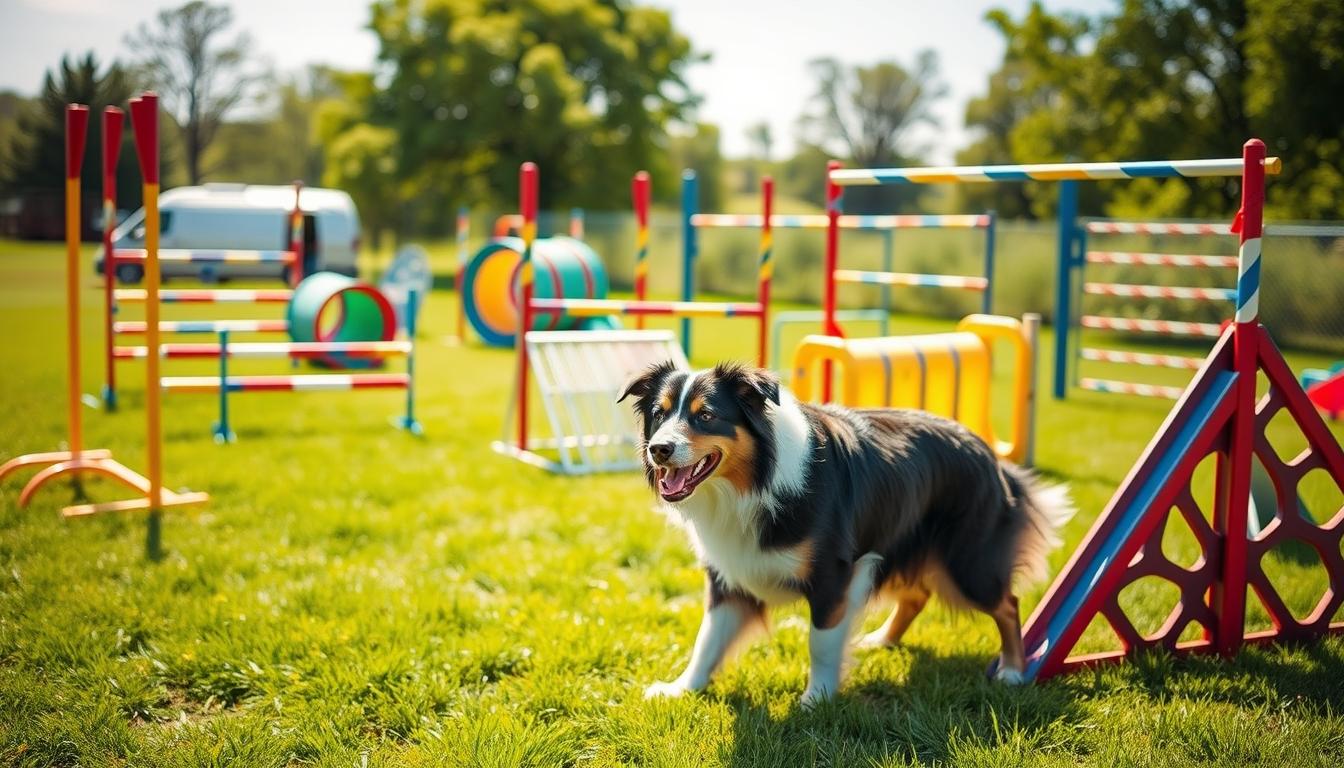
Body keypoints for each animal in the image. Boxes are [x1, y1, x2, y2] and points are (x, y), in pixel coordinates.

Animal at [615, 363, 1069, 710]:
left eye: (706, 415)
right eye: (659, 414)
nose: (659, 449)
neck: (755, 483)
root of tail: (991, 456)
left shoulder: (834, 574)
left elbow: (821, 641)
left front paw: (816, 699)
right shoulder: (730, 574)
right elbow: (707, 639)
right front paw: (681, 689)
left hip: (965, 563)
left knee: (1007, 604)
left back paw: (1013, 670)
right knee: (917, 594)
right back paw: (882, 640)